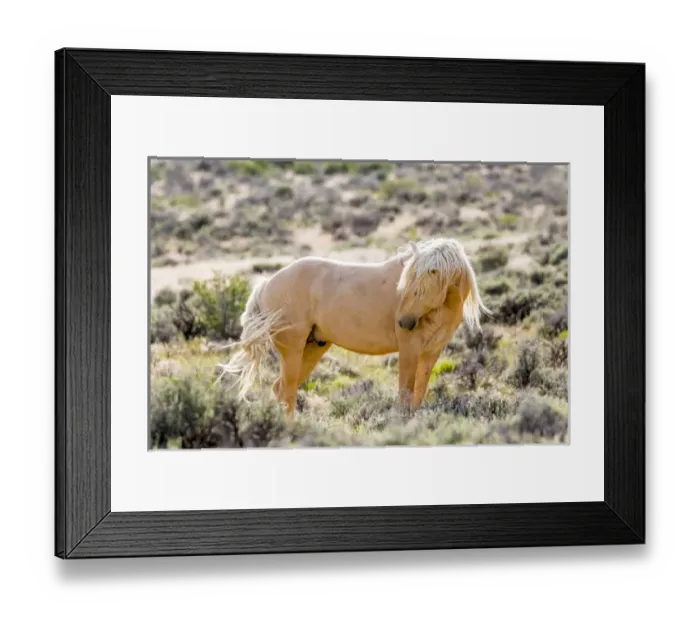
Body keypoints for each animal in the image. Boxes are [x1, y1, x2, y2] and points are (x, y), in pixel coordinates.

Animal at [218, 237, 490, 420]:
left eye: (419, 289)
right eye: (407, 285)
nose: (403, 322)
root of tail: (267, 283)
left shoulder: (430, 353)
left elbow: (418, 394)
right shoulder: (409, 350)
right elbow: (404, 395)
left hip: (312, 348)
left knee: (282, 389)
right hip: (293, 350)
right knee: (287, 390)